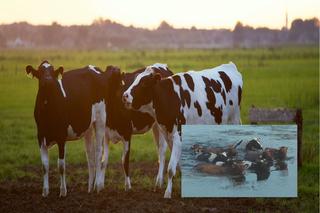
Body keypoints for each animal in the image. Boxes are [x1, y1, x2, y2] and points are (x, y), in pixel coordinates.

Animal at [26, 60, 109, 197]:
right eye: (41, 72)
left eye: (52, 72)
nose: (48, 80)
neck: (48, 111)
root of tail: (92, 67)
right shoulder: (40, 136)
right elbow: (44, 165)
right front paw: (45, 191)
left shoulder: (61, 137)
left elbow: (61, 165)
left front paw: (63, 191)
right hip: (88, 127)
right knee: (90, 155)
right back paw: (90, 188)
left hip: (100, 120)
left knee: (98, 153)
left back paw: (97, 186)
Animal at [122, 62, 242, 198]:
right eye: (135, 80)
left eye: (144, 83)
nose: (125, 96)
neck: (169, 97)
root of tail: (229, 65)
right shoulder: (168, 135)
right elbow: (177, 163)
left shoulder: (178, 135)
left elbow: (170, 168)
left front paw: (167, 193)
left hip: (234, 119)